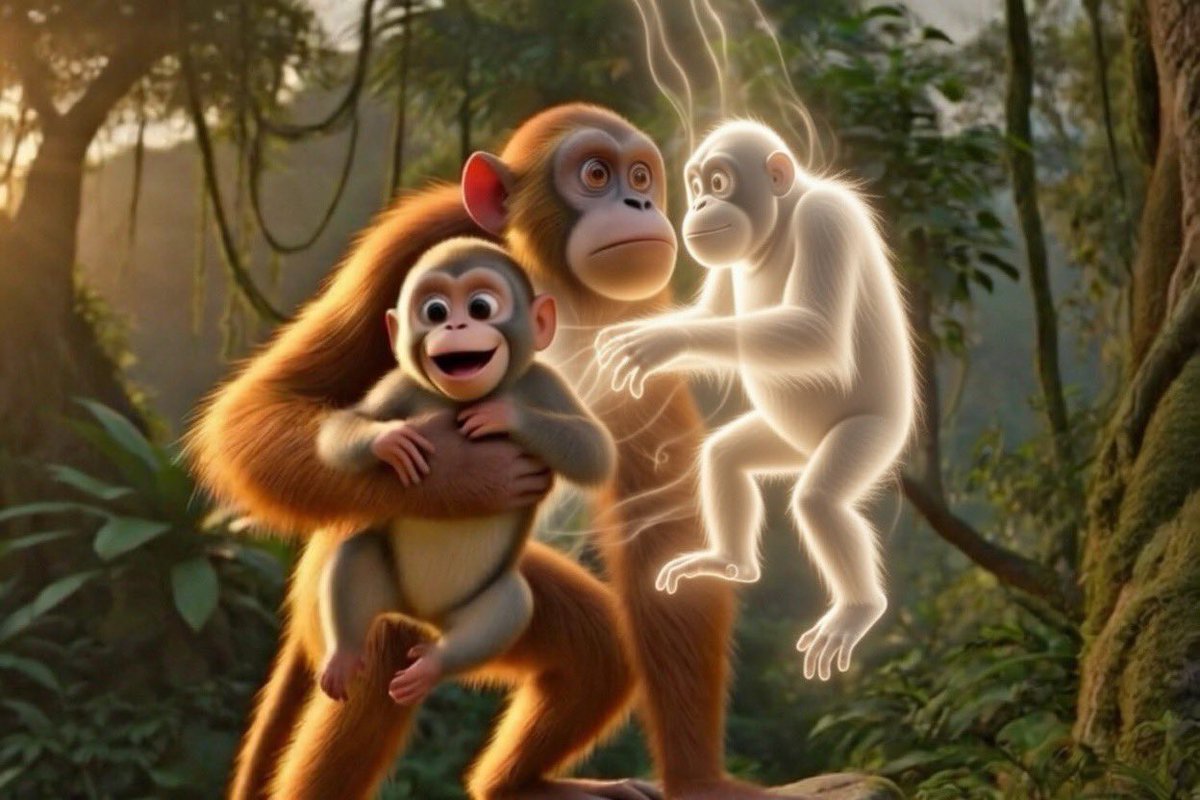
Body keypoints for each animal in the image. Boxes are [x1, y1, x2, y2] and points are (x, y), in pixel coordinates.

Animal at [313, 237, 615, 706]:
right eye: (435, 311)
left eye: (480, 307)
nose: (454, 325)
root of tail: (424, 616)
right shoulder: (399, 386)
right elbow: (343, 426)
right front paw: (391, 440)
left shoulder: (545, 382)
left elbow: (596, 450)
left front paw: (501, 414)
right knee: (356, 553)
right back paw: (344, 654)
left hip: (478, 605)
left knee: (508, 605)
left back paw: (431, 665)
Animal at [597, 119, 917, 683]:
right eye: (696, 185)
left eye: (719, 183)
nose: (700, 204)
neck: (781, 222)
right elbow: (714, 313)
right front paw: (652, 334)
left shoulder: (826, 221)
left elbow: (815, 331)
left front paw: (661, 341)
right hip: (784, 440)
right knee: (725, 456)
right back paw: (729, 562)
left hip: (874, 433)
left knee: (819, 500)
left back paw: (857, 610)